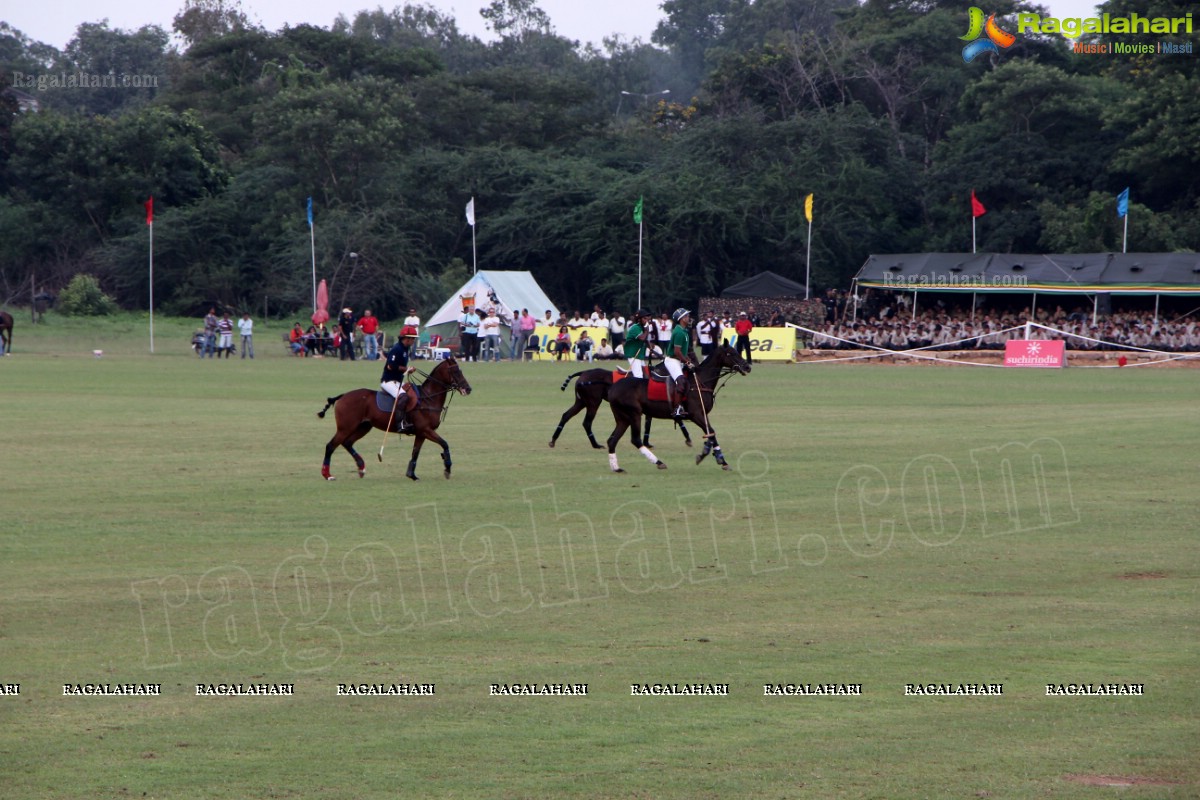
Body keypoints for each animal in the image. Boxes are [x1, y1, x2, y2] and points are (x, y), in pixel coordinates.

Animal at [316, 357, 470, 482]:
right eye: (455, 371)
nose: (468, 389)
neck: (428, 398)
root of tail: (342, 396)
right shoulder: (426, 430)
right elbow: (445, 444)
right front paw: (447, 469)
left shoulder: (421, 433)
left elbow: (415, 453)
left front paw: (412, 475)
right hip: (346, 427)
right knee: (331, 446)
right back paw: (327, 475)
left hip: (364, 426)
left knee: (347, 443)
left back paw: (361, 468)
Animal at [547, 369, 696, 450]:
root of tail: (583, 373)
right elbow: (678, 418)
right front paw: (688, 439)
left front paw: (646, 442)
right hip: (593, 402)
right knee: (587, 422)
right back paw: (596, 444)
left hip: (581, 402)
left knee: (566, 415)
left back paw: (553, 440)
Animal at [609, 340, 748, 472]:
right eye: (730, 353)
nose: (747, 366)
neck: (701, 382)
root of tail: (613, 388)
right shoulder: (696, 414)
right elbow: (711, 431)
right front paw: (715, 458)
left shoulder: (703, 414)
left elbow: (710, 432)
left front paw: (717, 458)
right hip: (634, 414)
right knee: (635, 439)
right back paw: (659, 462)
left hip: (623, 418)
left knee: (612, 440)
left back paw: (616, 468)